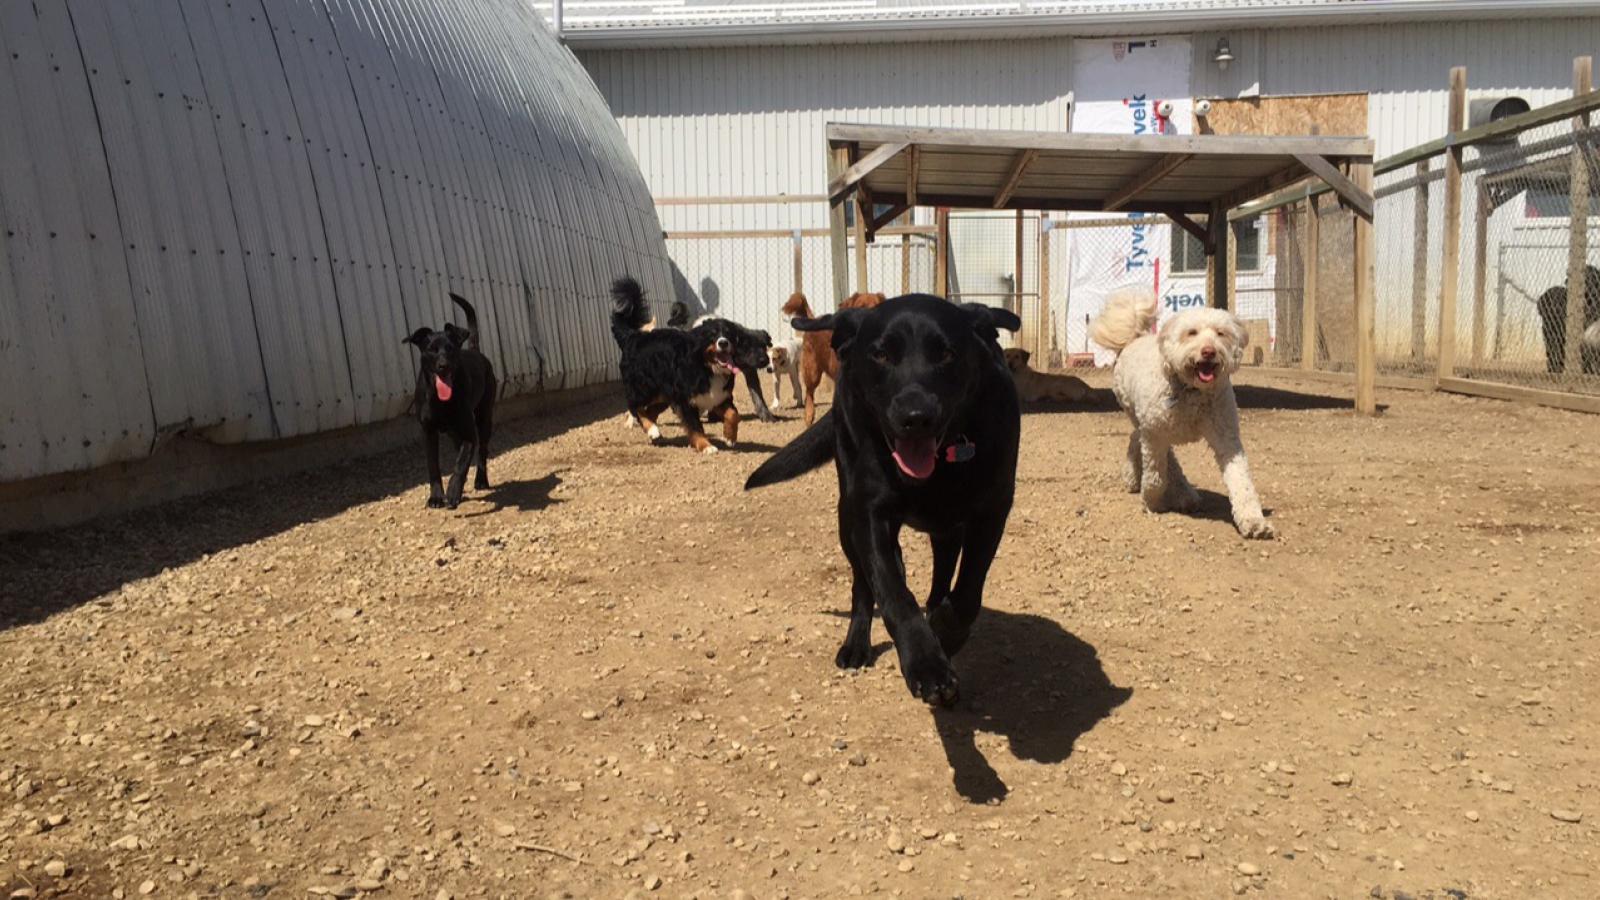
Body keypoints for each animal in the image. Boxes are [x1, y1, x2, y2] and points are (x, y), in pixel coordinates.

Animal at [406, 293, 492, 506]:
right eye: (431, 349)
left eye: (451, 348)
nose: (443, 366)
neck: (440, 400)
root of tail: (475, 351)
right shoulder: (428, 432)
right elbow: (434, 466)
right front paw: (436, 496)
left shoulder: (469, 434)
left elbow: (461, 463)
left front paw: (453, 492)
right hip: (454, 432)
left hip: (484, 418)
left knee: (482, 451)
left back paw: (480, 480)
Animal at [611, 275, 742, 454]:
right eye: (712, 335)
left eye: (728, 334)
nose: (723, 343)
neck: (706, 367)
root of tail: (633, 337)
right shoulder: (686, 401)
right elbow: (695, 427)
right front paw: (706, 446)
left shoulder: (718, 396)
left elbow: (733, 414)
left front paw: (730, 437)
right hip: (644, 388)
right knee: (635, 407)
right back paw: (652, 429)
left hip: (662, 395)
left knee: (649, 411)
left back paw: (653, 434)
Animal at [1088, 291, 1273, 534]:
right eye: (1191, 332)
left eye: (1221, 333)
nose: (1209, 351)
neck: (1192, 391)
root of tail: (1135, 338)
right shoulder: (1155, 434)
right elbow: (1156, 475)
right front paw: (1151, 501)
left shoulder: (1226, 438)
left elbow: (1241, 479)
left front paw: (1253, 521)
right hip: (1139, 415)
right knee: (1151, 448)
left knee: (1137, 439)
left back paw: (1180, 492)